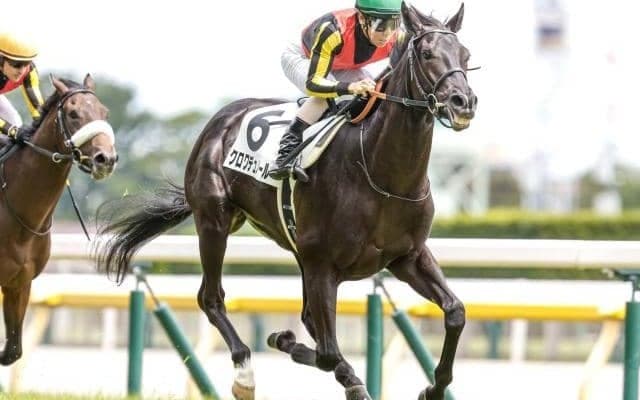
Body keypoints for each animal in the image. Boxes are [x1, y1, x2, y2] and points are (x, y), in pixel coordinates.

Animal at [95, 3, 476, 400]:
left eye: (466, 55)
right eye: (427, 54)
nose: (463, 102)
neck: (379, 171)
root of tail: (220, 120)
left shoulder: (407, 257)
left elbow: (455, 311)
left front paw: (433, 388)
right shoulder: (322, 263)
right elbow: (327, 352)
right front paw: (290, 344)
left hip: (290, 246)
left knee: (305, 317)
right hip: (214, 223)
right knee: (211, 298)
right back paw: (245, 374)